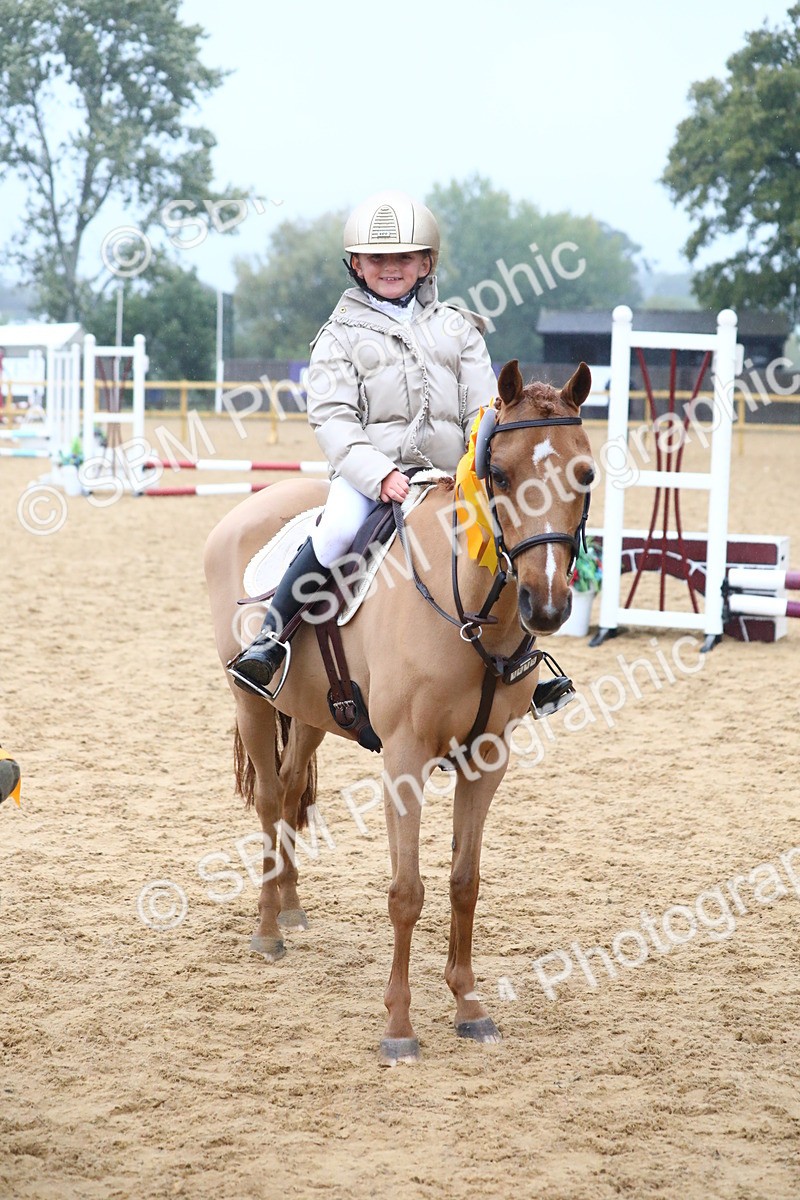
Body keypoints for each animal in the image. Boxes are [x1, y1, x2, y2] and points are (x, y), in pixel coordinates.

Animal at [204, 359, 594, 1065]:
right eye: (500, 474)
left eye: (585, 474)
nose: (546, 605)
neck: (468, 609)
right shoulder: (406, 759)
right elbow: (407, 891)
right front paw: (400, 1027)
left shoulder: (487, 760)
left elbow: (464, 881)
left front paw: (469, 1007)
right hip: (251, 702)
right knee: (272, 803)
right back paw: (270, 929)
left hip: (311, 715)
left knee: (294, 791)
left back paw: (293, 906)